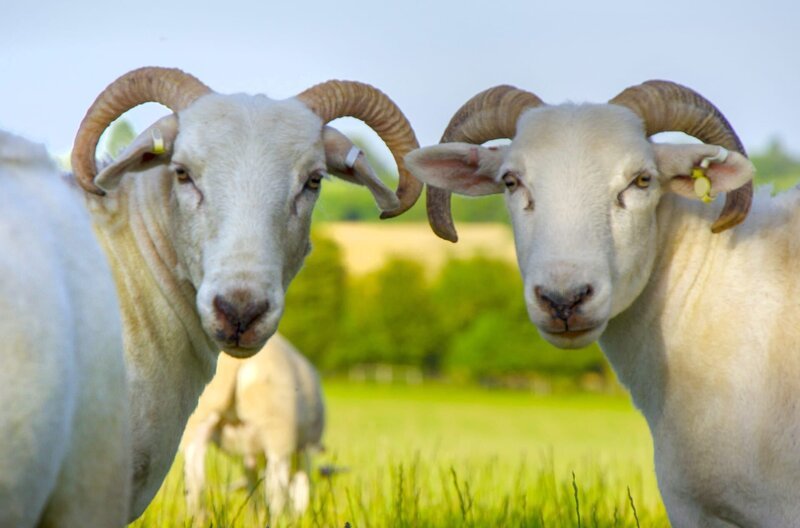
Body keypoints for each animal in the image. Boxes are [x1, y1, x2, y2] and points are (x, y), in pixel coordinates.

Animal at [181, 333, 324, 521]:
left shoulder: (249, 453)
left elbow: (252, 481)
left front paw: (254, 513)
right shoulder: (304, 450)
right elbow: (301, 486)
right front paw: (299, 516)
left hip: (199, 420)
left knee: (194, 478)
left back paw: (198, 519)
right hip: (277, 429)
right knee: (277, 488)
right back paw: (277, 519)